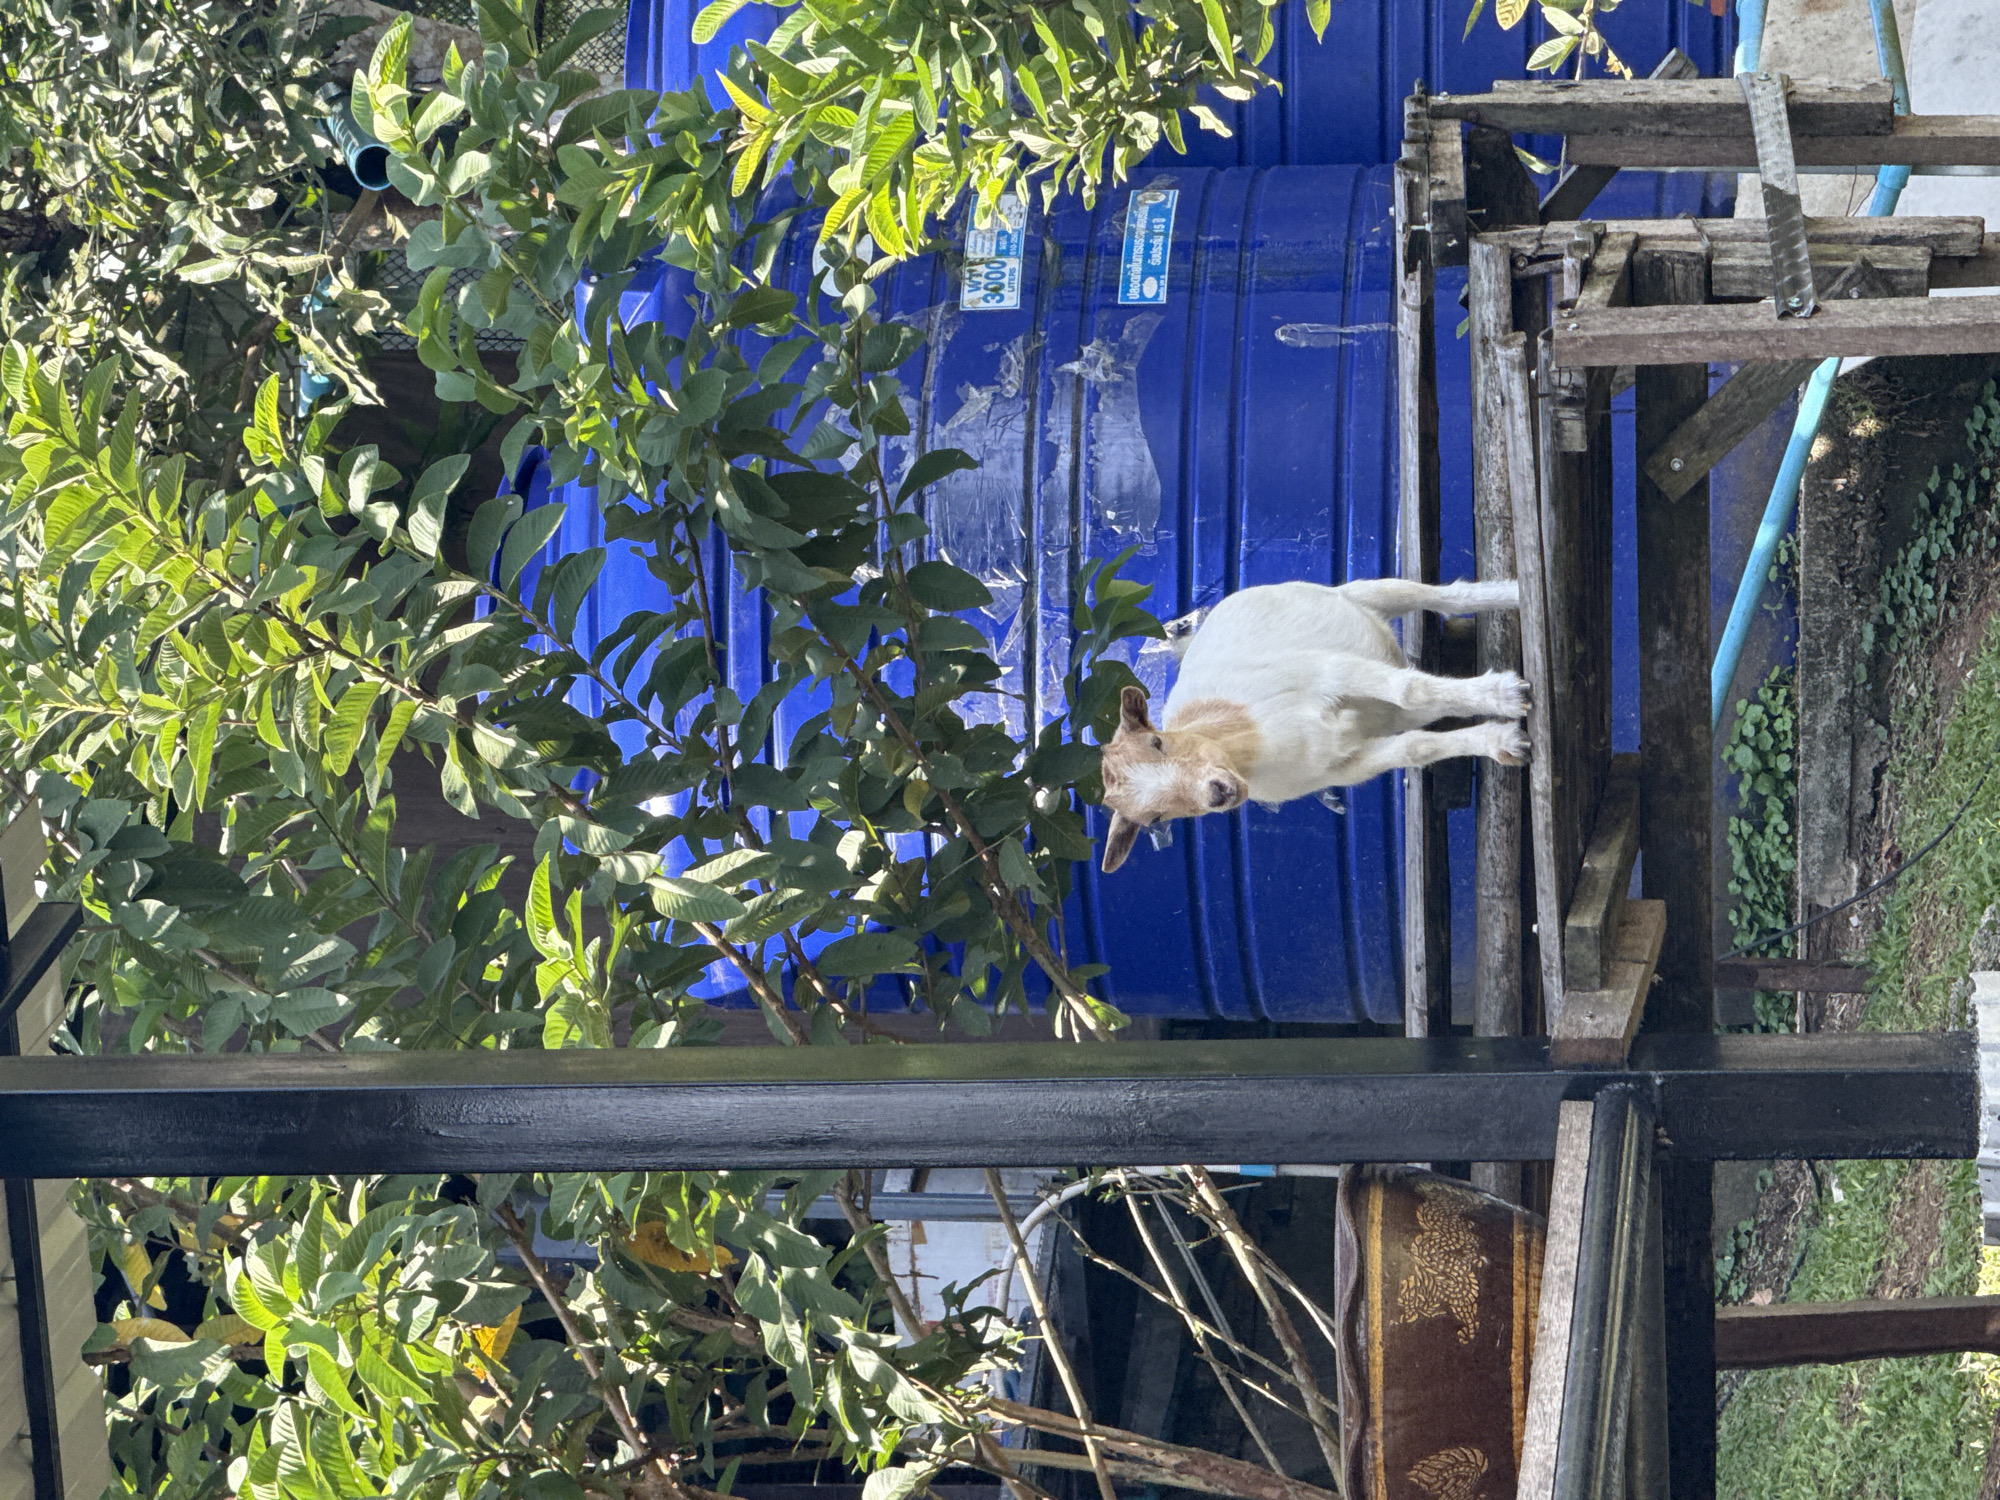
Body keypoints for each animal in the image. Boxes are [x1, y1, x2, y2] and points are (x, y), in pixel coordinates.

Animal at [1098, 579, 1529, 873]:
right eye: (1153, 819)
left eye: (1158, 743)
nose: (1218, 792)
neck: (1256, 741)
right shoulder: (1347, 763)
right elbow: (1417, 746)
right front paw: (1504, 740)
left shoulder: (1330, 672)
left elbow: (1409, 688)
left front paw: (1507, 695)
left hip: (1358, 597)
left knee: (1445, 598)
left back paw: (1513, 592)